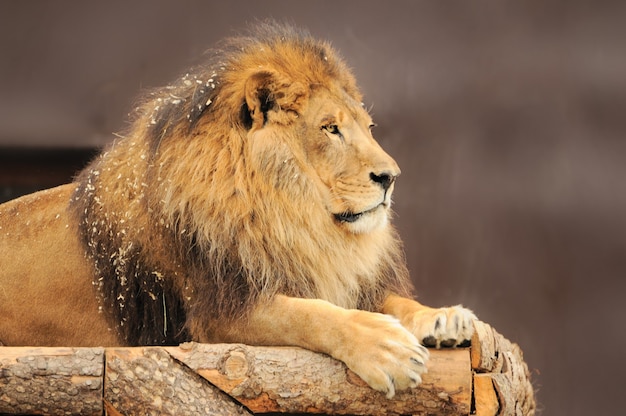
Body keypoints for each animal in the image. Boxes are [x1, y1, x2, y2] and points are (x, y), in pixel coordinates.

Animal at [0, 24, 472, 398]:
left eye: (368, 128)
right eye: (330, 128)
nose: (390, 177)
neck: (287, 215)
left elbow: (388, 299)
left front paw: (443, 318)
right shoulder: (217, 314)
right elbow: (311, 314)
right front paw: (385, 349)